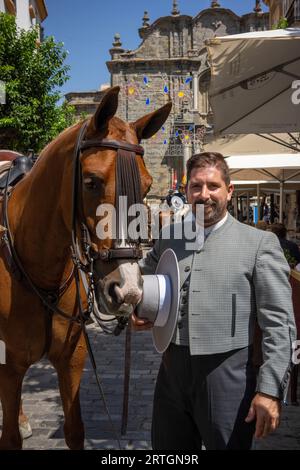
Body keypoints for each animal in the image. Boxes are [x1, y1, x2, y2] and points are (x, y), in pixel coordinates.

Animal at [0, 84, 171, 448]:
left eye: (148, 186)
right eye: (91, 181)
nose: (127, 289)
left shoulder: (71, 359)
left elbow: (75, 429)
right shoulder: (8, 366)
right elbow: (9, 438)